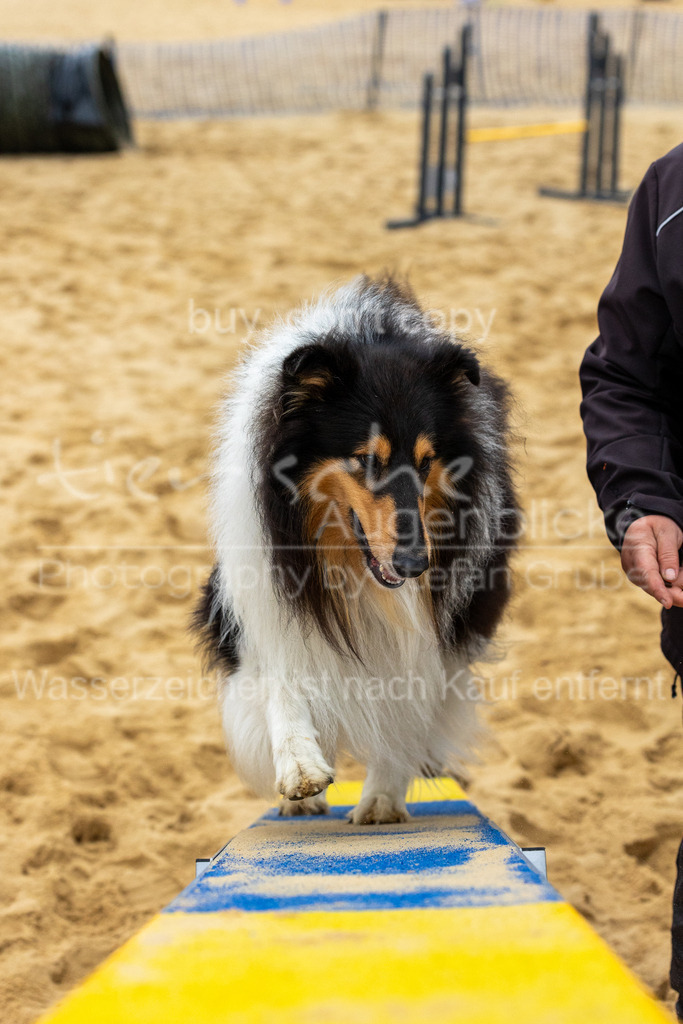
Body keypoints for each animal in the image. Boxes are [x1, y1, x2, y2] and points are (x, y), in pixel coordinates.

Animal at [192, 278, 518, 823]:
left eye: (427, 461)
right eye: (367, 460)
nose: (415, 565)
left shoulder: (443, 624)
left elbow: (405, 706)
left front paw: (382, 797)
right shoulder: (260, 591)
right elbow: (280, 674)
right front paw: (300, 768)